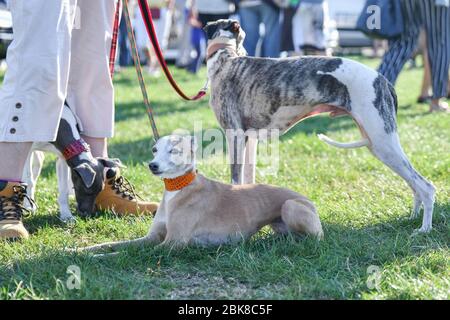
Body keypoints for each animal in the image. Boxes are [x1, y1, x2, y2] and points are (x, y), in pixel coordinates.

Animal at [78, 135, 324, 252]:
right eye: (155, 150)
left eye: (174, 150)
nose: (152, 165)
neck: (178, 189)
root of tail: (309, 201)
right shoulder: (152, 238)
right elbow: (114, 245)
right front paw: (83, 249)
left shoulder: (172, 244)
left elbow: (127, 254)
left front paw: (98, 258)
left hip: (290, 206)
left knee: (312, 239)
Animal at [204, 19, 436, 232]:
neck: (227, 59)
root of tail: (383, 80)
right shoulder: (250, 139)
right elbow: (248, 180)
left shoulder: (234, 135)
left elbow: (235, 180)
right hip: (378, 143)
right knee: (414, 184)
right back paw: (412, 218)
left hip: (382, 142)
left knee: (426, 187)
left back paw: (423, 229)